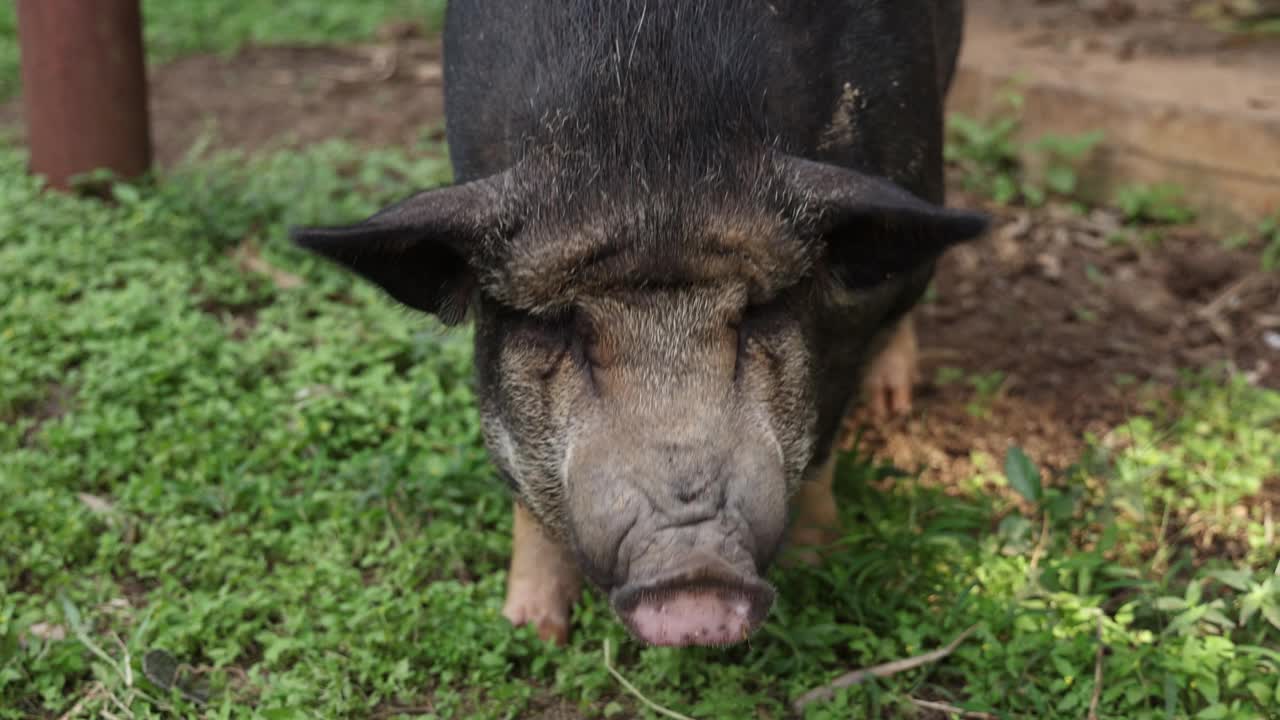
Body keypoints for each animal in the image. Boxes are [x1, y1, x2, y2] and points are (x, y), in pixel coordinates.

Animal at [293, 0, 988, 645]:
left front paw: (819, 569)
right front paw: (529, 630)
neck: (650, 144)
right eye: (563, 327)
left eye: (755, 315)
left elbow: (823, 438)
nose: (696, 575)